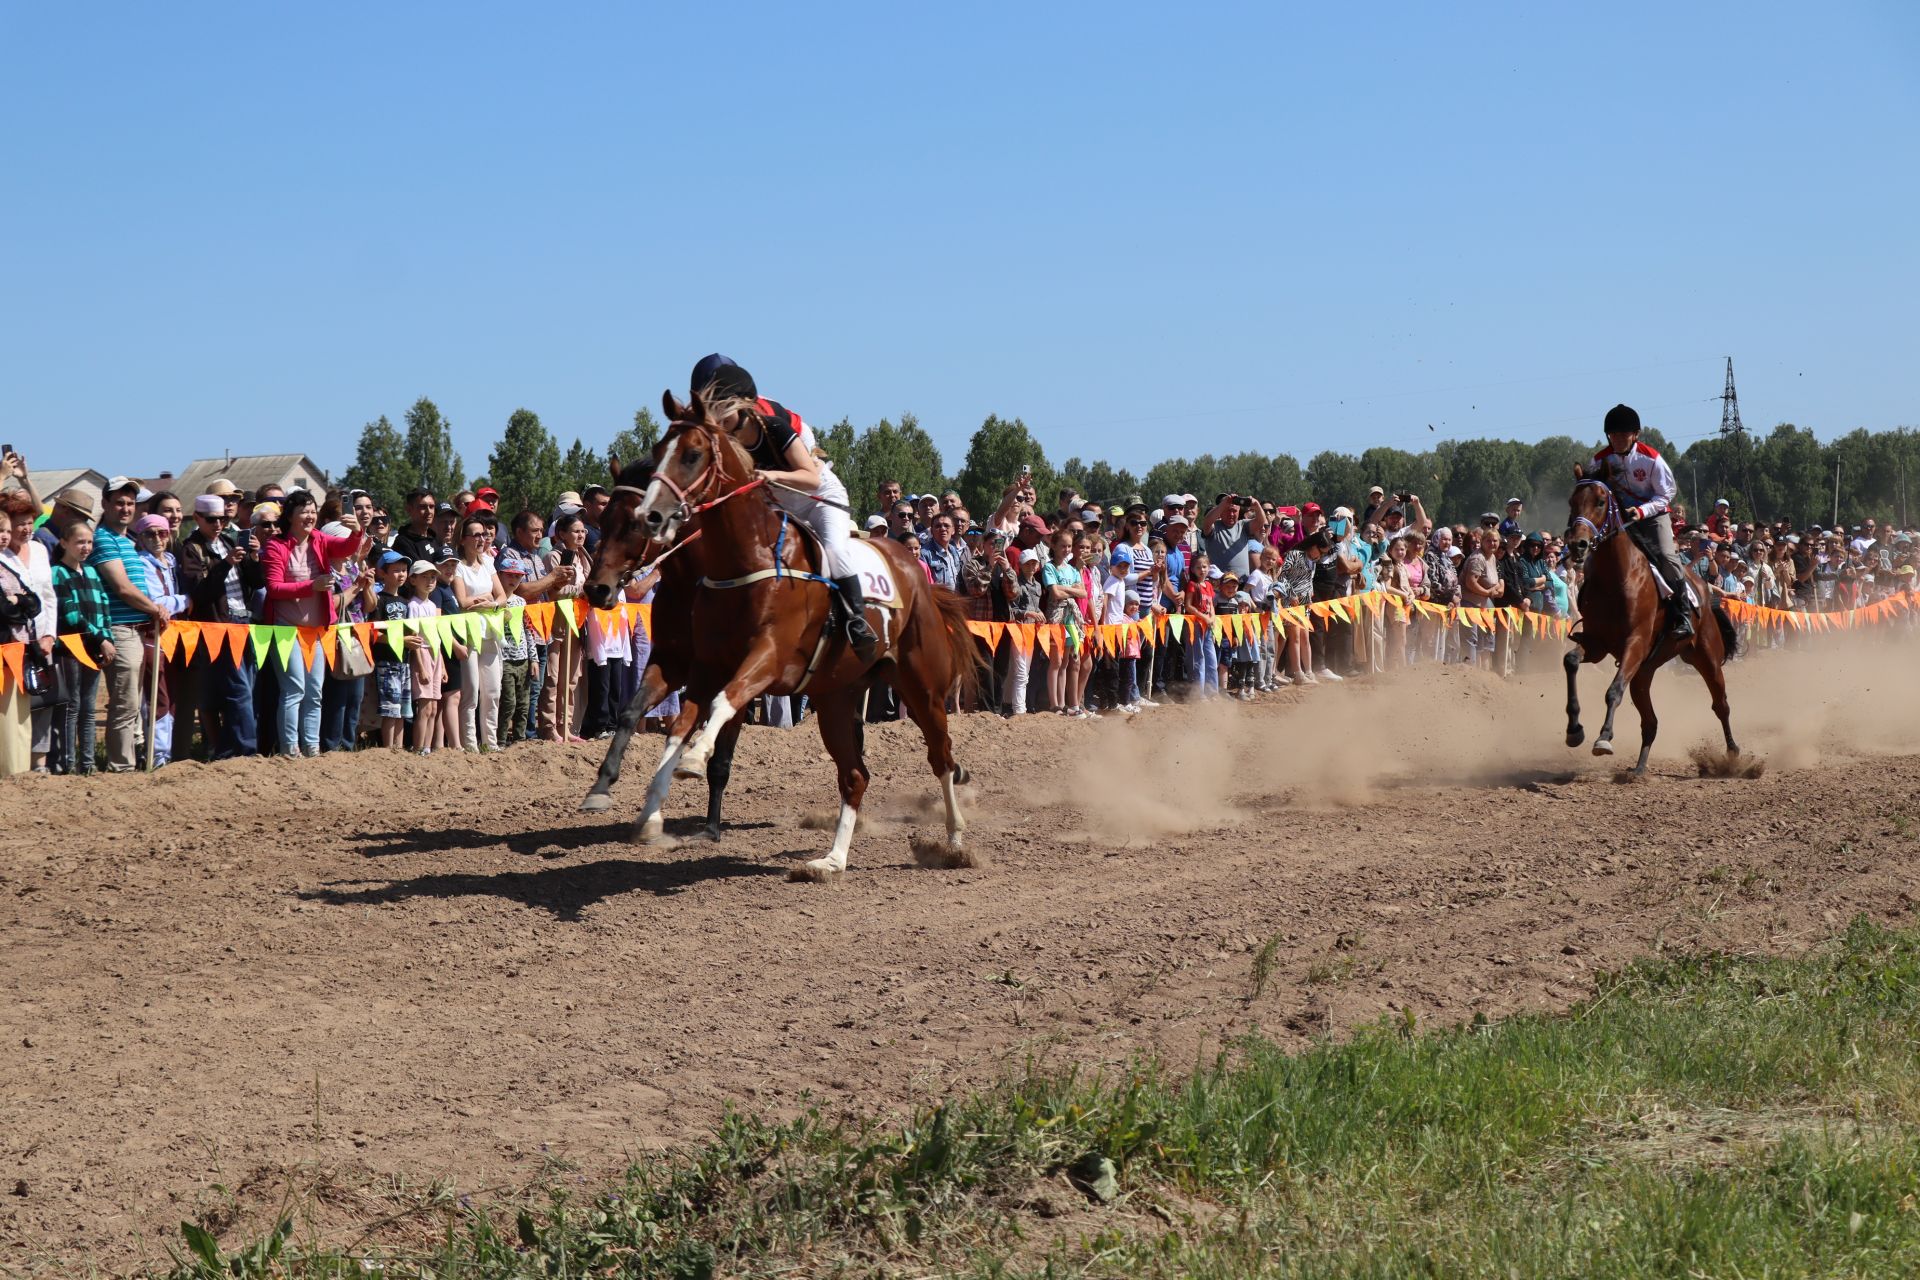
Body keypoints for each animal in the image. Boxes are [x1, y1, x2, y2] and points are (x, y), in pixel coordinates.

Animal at [579, 391, 975, 882]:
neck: (744, 560)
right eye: (658, 450)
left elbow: (720, 710)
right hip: (835, 696)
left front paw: (692, 766)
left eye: (692, 454)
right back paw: (831, 860)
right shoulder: (699, 664)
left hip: (923, 688)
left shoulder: (765, 659)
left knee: (942, 758)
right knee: (855, 774)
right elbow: (676, 722)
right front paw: (649, 809)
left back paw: (954, 842)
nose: (596, 588)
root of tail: (913, 569)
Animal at [1559, 470, 1743, 771]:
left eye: (1600, 501)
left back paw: (1733, 753)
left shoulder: (1634, 643)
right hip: (1643, 673)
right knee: (1651, 722)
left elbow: (1613, 690)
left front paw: (1604, 738)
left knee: (1721, 705)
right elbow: (1571, 661)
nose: (1578, 544)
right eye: (1571, 501)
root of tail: (1703, 587)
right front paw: (1574, 730)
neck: (1615, 578)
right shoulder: (1596, 644)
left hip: (1707, 658)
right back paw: (1639, 767)